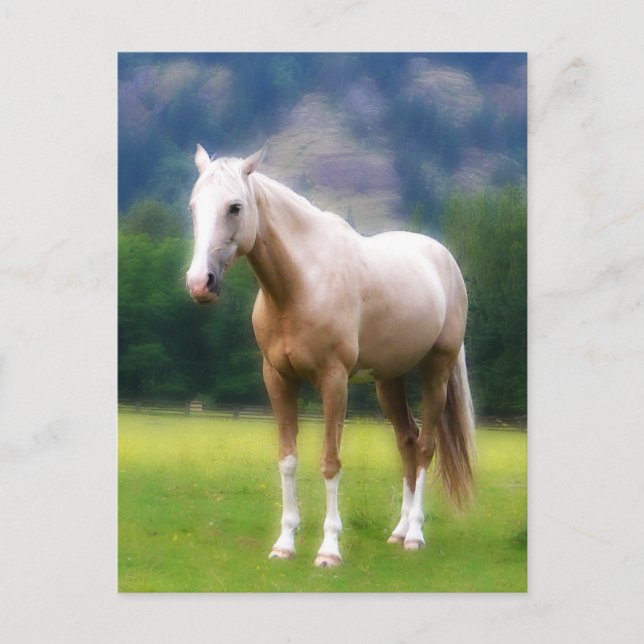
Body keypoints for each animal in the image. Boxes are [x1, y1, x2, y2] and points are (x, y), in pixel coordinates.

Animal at [186, 144, 476, 567]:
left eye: (235, 207)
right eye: (193, 207)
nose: (199, 283)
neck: (302, 284)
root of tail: (445, 261)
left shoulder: (334, 381)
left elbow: (330, 462)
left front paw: (329, 550)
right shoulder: (278, 379)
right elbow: (288, 459)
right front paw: (284, 543)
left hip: (436, 370)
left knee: (425, 448)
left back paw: (415, 536)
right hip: (389, 381)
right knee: (407, 442)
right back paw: (399, 530)